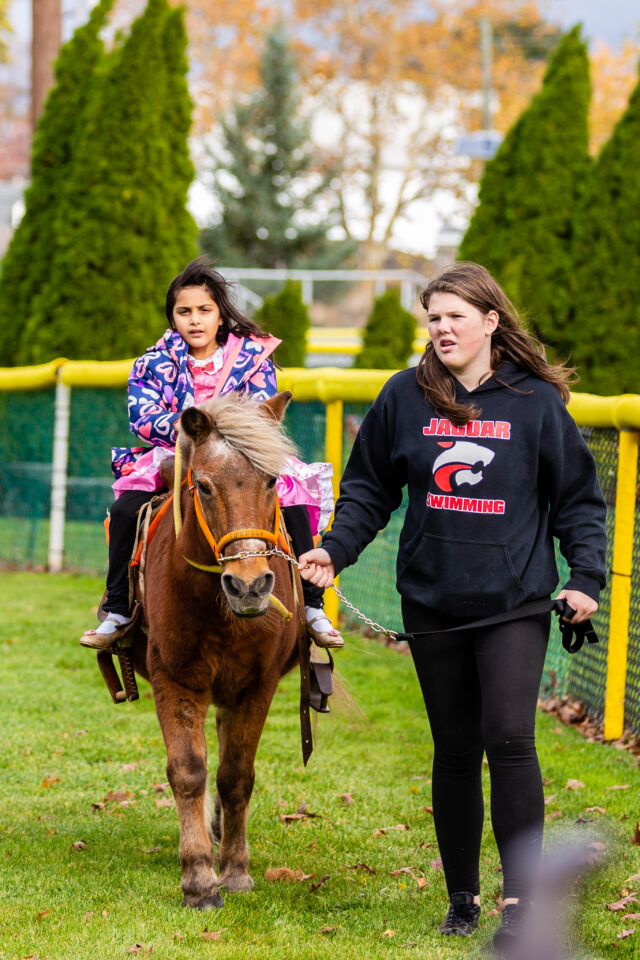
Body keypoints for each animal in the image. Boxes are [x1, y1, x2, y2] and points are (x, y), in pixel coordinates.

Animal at [130, 390, 304, 908]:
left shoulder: (256, 687)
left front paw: (235, 870)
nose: (249, 586)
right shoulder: (176, 680)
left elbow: (236, 776)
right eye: (204, 487)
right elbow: (189, 771)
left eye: (272, 481)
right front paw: (200, 877)